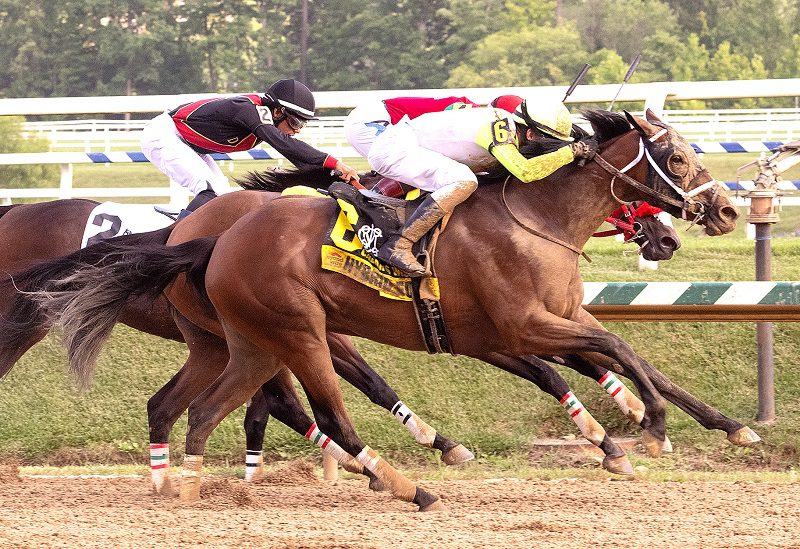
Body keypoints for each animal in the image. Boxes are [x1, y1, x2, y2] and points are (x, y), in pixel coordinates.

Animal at [25, 110, 752, 510]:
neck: (536, 218)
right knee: (327, 411)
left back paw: (188, 486)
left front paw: (715, 425)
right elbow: (613, 354)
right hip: (299, 331)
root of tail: (204, 236)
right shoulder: (517, 325)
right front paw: (647, 427)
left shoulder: (547, 320)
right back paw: (402, 482)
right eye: (677, 156)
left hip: (245, 341)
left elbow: (627, 358)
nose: (725, 211)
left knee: (198, 407)